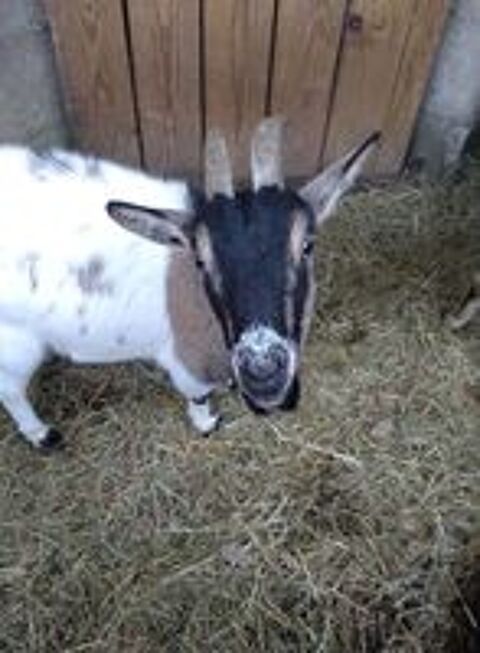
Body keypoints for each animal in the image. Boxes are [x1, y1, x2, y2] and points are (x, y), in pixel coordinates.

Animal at [0, 118, 379, 449]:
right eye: (200, 260)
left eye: (307, 245)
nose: (263, 373)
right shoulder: (186, 362)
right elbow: (198, 395)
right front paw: (207, 423)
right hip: (16, 345)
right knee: (10, 390)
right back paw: (42, 435)